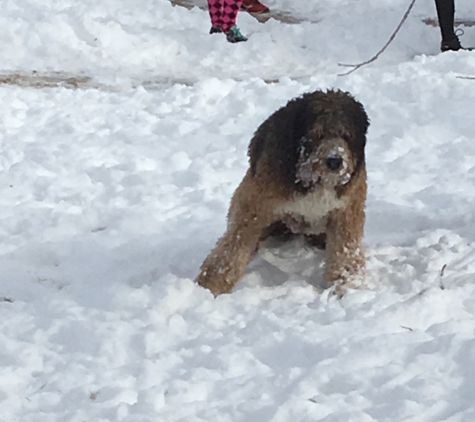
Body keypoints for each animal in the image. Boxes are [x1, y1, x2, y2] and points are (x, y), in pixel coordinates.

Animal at [197, 88, 372, 296]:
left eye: (346, 135)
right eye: (318, 133)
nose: (334, 160)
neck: (312, 180)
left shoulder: (346, 211)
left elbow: (345, 249)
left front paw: (347, 284)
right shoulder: (255, 205)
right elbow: (232, 246)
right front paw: (210, 285)